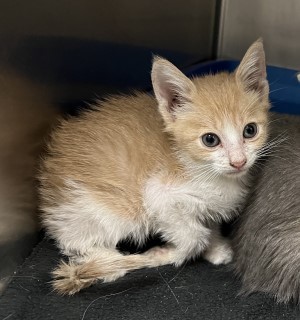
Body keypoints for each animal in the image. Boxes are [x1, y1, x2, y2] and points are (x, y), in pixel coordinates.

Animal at [38, 39, 270, 296]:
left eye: (250, 130)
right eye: (210, 140)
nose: (239, 162)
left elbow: (210, 221)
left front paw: (216, 247)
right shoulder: (160, 197)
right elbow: (193, 235)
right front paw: (170, 253)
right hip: (111, 210)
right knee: (70, 239)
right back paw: (109, 261)